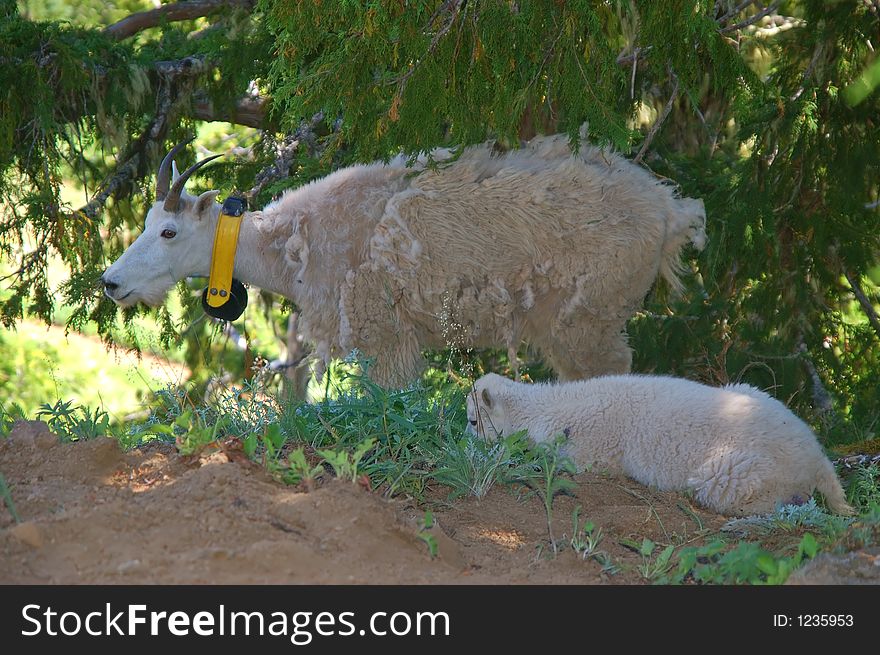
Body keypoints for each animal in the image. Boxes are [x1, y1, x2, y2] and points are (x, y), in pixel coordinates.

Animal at [105, 135, 708, 386]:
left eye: (168, 230)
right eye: (144, 224)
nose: (110, 283)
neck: (291, 243)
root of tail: (671, 211)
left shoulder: (382, 332)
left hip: (588, 317)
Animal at [468, 374, 852, 516]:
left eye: (473, 422)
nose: (465, 447)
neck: (542, 407)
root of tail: (817, 458)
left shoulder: (588, 454)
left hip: (727, 475)